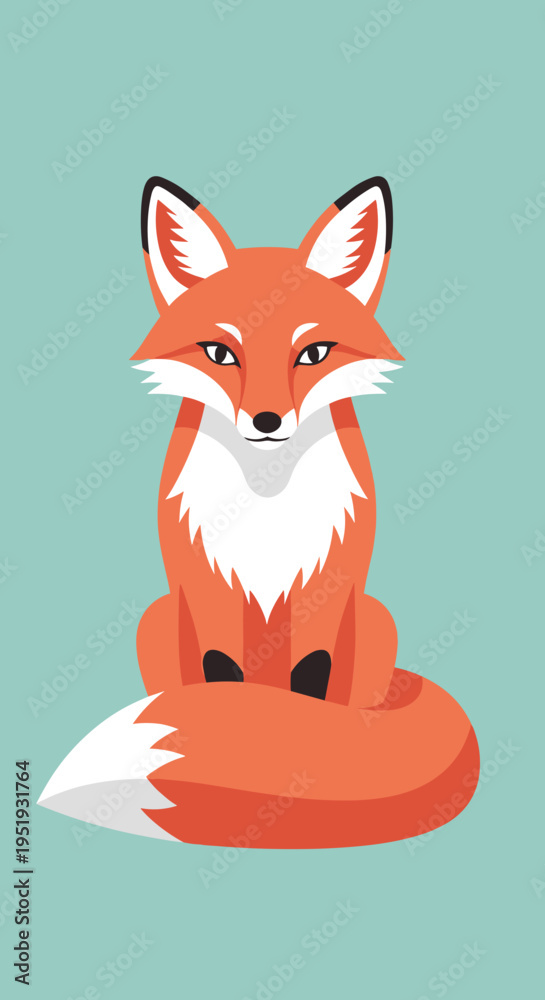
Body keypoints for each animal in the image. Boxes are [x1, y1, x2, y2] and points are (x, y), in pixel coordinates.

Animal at [132, 175, 404, 709]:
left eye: (314, 353)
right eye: (219, 353)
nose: (266, 420)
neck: (266, 501)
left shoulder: (324, 591)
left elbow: (313, 680)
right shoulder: (209, 591)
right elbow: (221, 674)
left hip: (379, 619)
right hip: (154, 618)